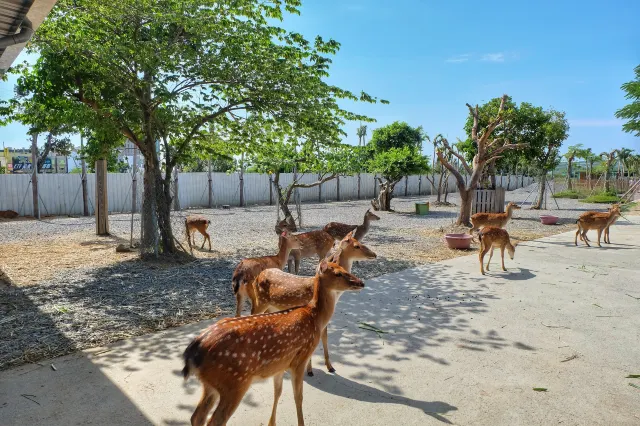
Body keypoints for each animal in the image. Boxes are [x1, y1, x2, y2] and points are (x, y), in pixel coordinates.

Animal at [185, 262, 364, 426]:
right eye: (338, 273)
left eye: (344, 268)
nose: (361, 282)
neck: (314, 316)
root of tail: (193, 351)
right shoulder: (300, 359)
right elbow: (298, 397)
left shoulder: (280, 364)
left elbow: (278, 392)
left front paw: (272, 423)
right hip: (234, 383)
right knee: (214, 421)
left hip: (211, 384)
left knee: (196, 416)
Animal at [246, 230, 376, 376]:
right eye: (357, 246)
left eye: (359, 242)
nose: (374, 254)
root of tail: (258, 276)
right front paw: (310, 370)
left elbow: (325, 338)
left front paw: (329, 367)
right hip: (260, 301)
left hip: (272, 306)